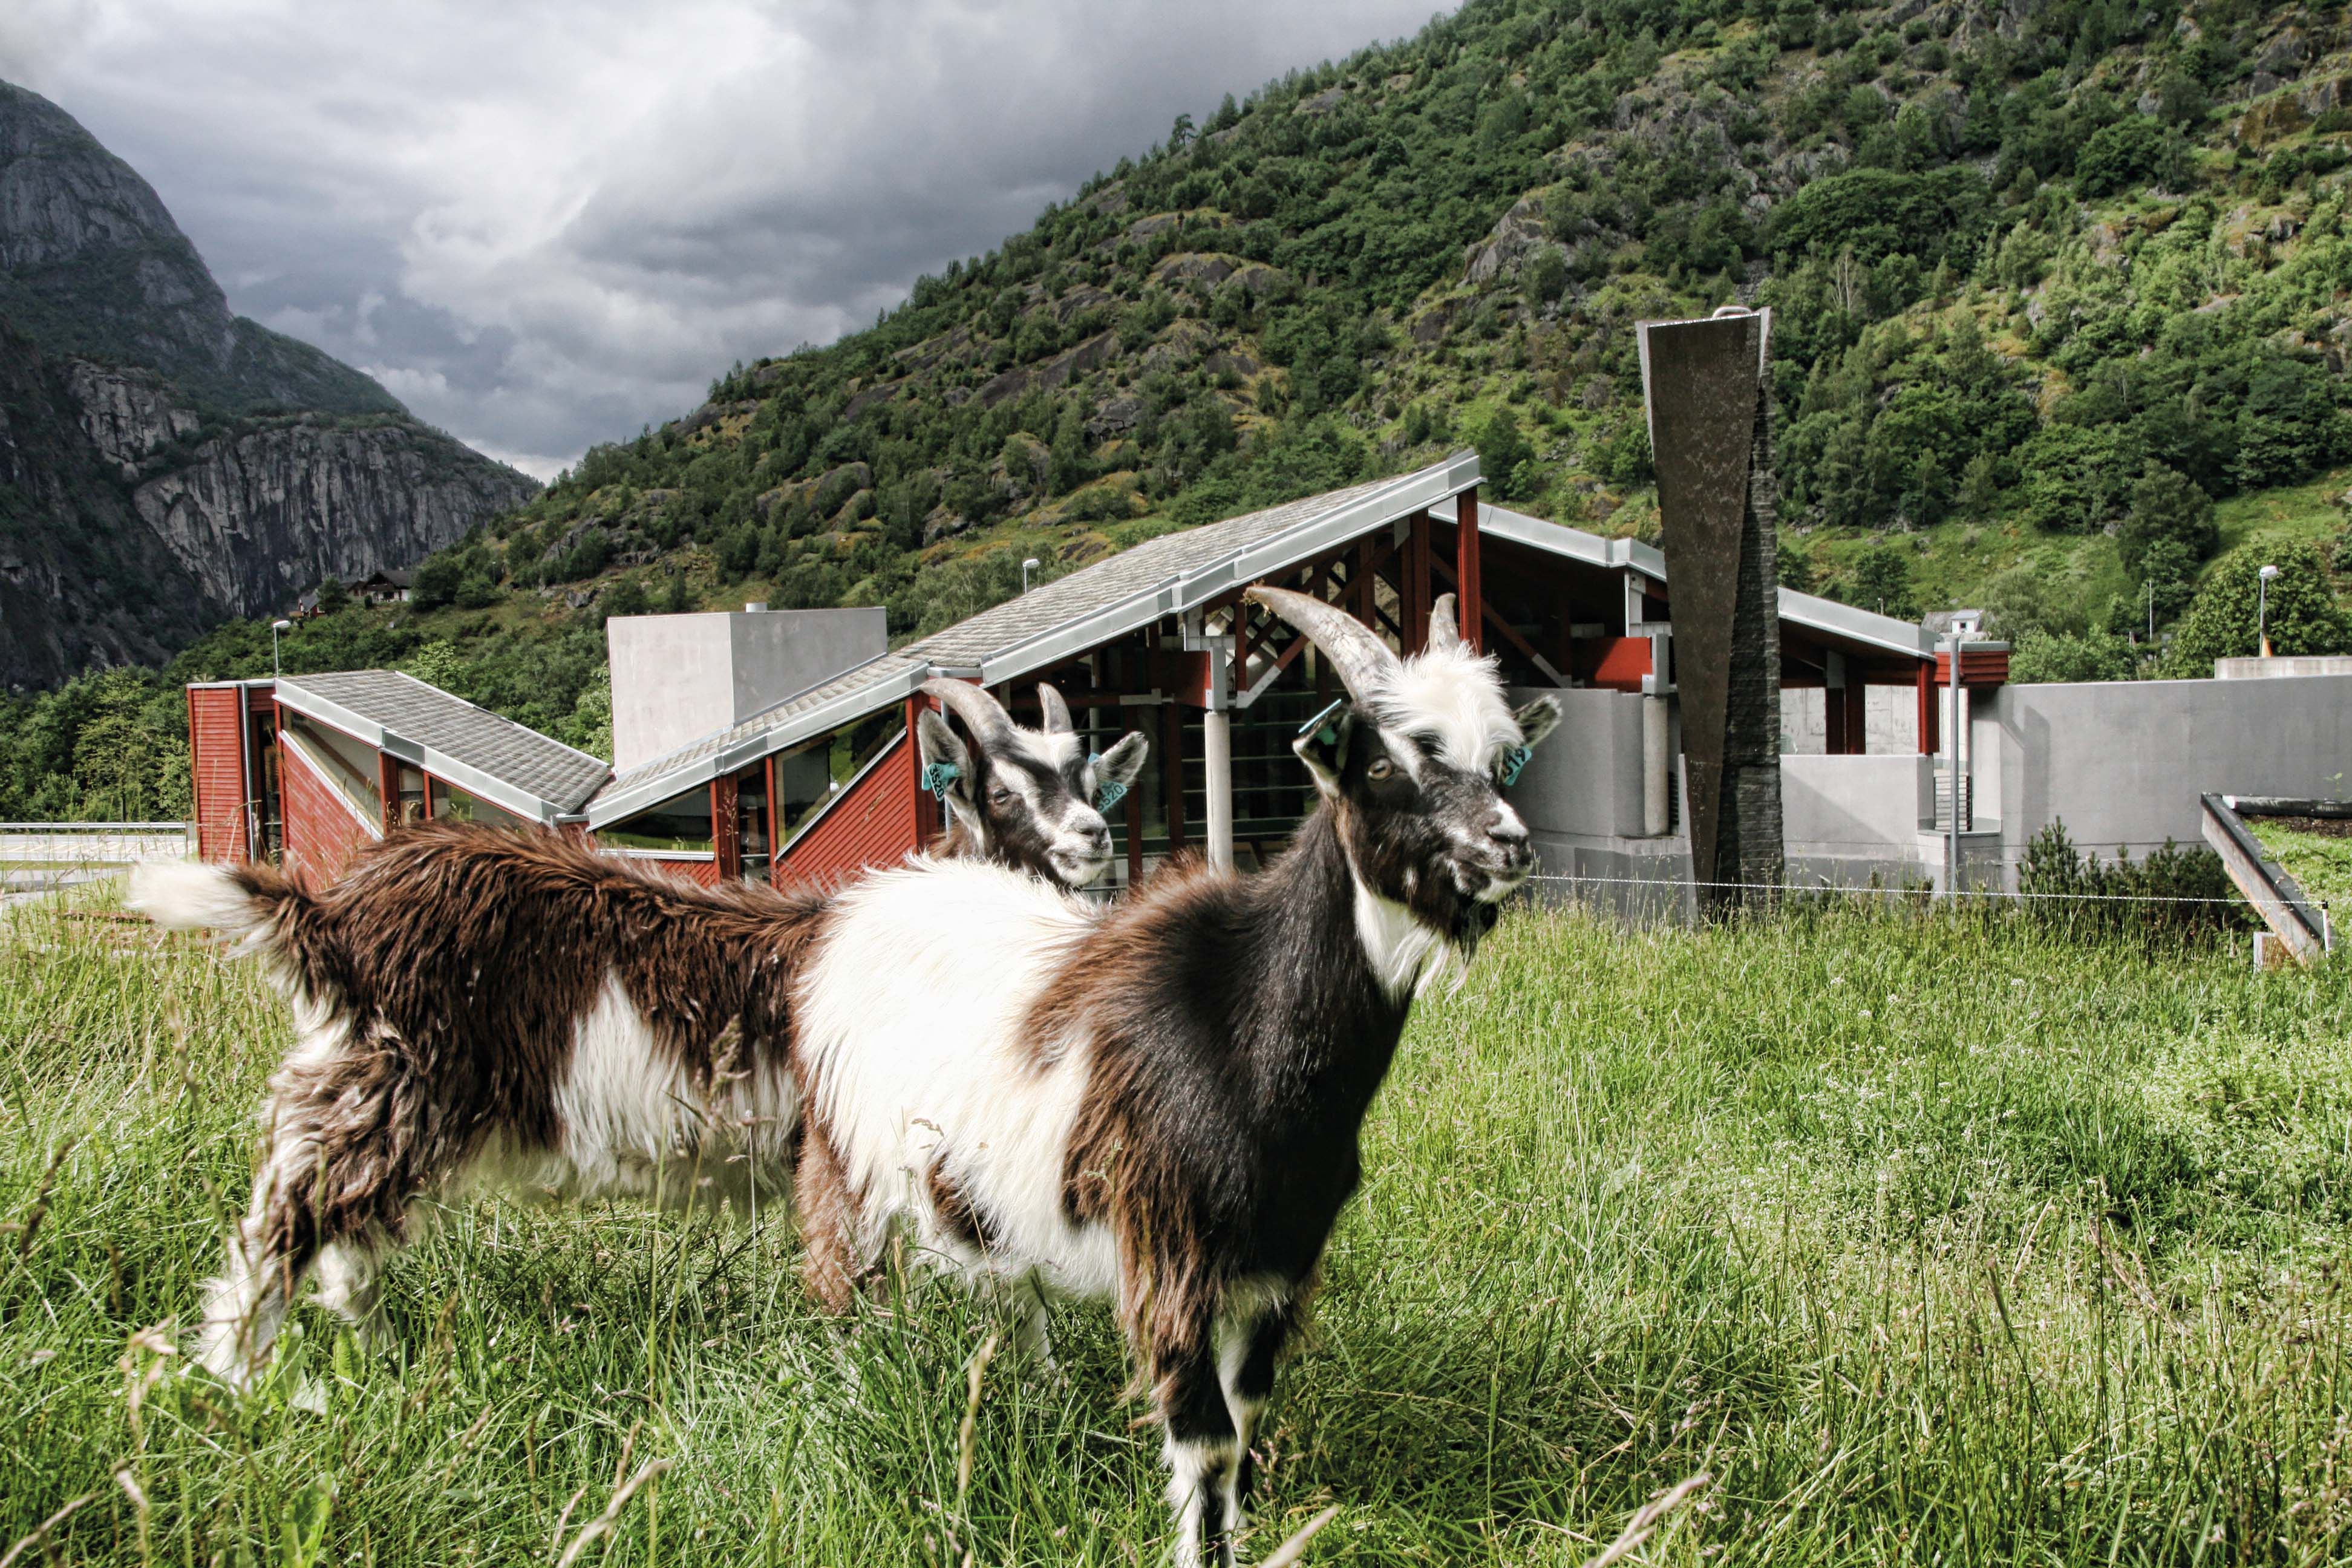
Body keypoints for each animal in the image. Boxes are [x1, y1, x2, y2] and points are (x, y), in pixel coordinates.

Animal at [129, 681, 1146, 1392]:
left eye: (1092, 781)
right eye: (1002, 794)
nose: (1093, 839)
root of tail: (335, 913)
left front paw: (1038, 1382)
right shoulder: (839, 1143)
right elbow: (850, 1279)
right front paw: (862, 1382)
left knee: (349, 1229)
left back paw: (372, 1359)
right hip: (386, 1082)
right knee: (287, 1218)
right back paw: (235, 1382)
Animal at [789, 591, 1561, 1567]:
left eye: (1501, 758)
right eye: (1385, 763)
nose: (1509, 845)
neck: (1247, 1037)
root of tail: (870, 900)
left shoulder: (1279, 1264)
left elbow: (1248, 1417)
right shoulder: (1172, 1252)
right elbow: (1208, 1439)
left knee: (1010, 1294)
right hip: (843, 1160)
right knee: (842, 1287)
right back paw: (854, 1397)